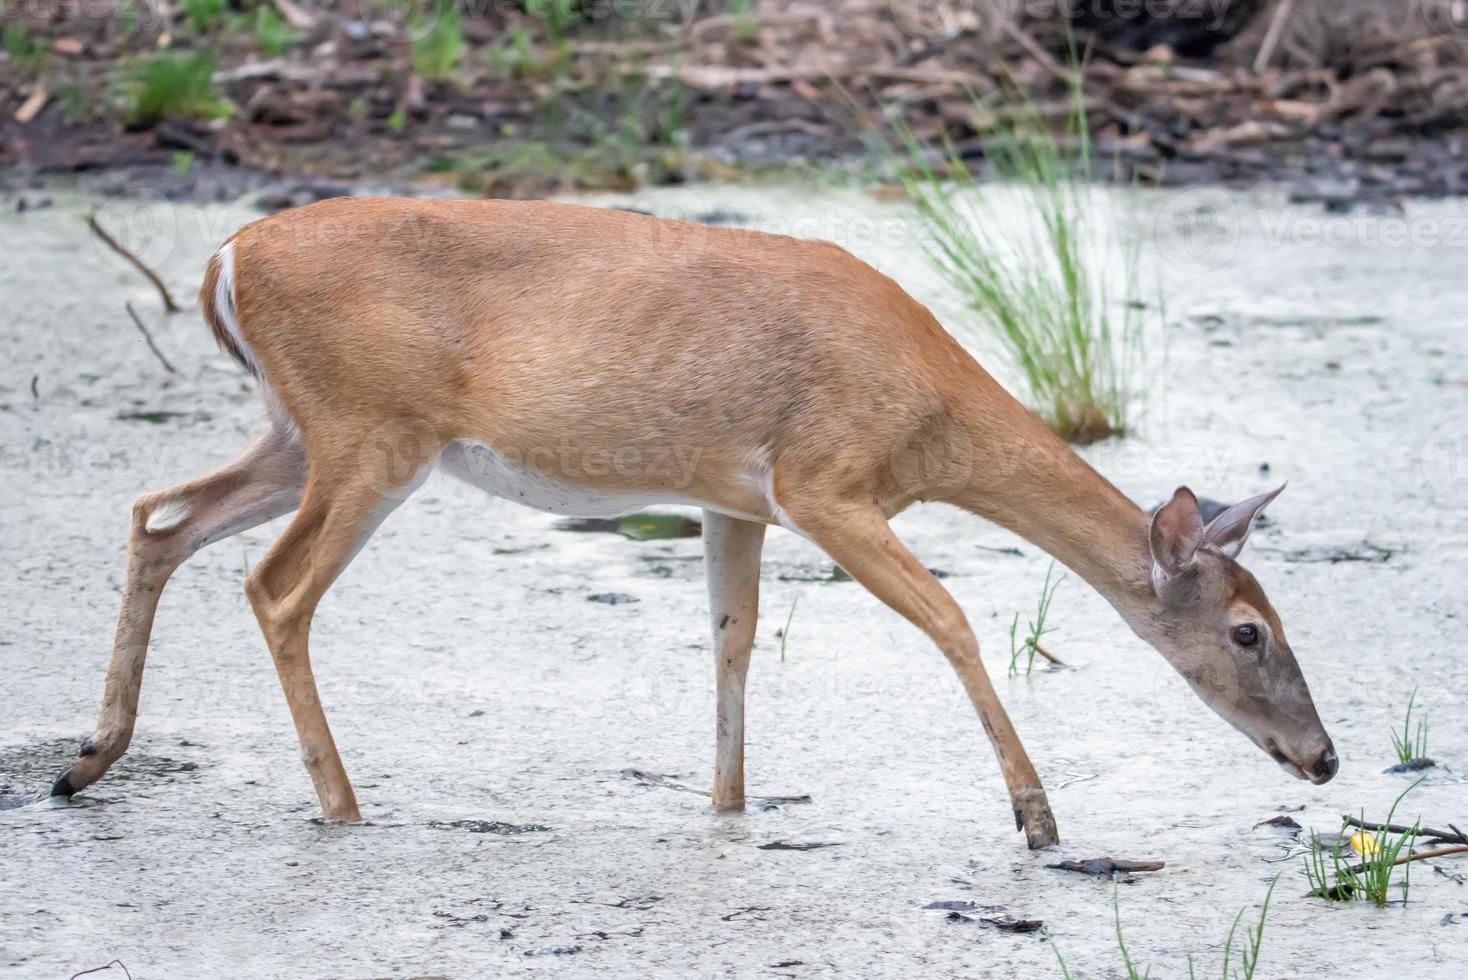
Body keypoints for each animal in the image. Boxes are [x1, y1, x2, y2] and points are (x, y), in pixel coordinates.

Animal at [51, 196, 1338, 845]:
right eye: (1248, 630)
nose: (1324, 755)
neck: (928, 413)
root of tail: (224, 256)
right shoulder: (825, 480)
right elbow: (953, 621)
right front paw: (1036, 815)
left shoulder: (734, 497)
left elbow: (731, 637)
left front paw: (726, 806)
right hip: (369, 429)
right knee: (274, 586)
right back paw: (341, 803)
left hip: (299, 428)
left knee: (159, 514)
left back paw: (87, 759)